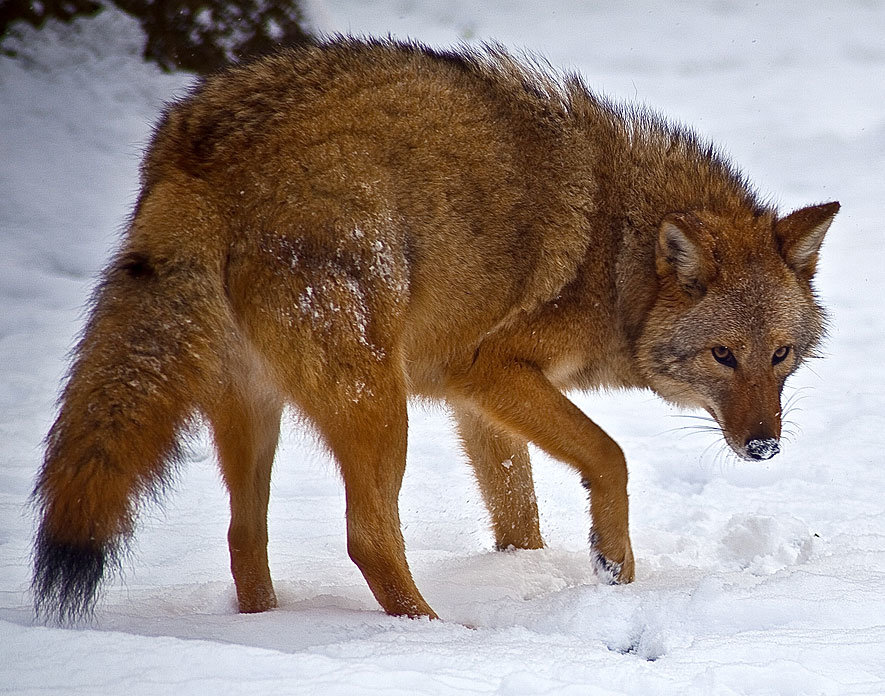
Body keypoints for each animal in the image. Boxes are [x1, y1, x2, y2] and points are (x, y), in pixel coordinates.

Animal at [32, 37, 838, 622]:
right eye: (723, 355)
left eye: (780, 355)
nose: (763, 446)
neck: (618, 257)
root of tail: (202, 144)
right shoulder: (490, 369)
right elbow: (610, 457)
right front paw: (612, 566)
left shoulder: (474, 400)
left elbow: (518, 512)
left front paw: (527, 570)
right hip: (377, 404)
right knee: (366, 537)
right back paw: (437, 634)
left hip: (259, 409)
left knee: (243, 537)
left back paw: (270, 627)